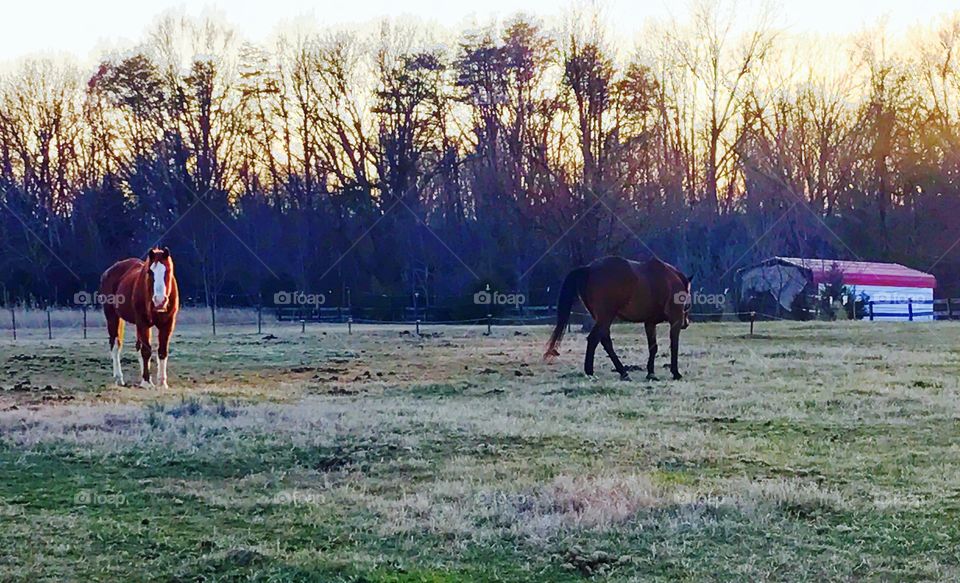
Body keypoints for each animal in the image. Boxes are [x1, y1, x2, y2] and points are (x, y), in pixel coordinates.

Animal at [99, 246, 180, 388]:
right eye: (150, 272)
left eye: (168, 271)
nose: (159, 301)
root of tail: (108, 272)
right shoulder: (143, 322)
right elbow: (146, 351)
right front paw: (147, 382)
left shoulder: (168, 324)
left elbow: (162, 351)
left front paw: (162, 383)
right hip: (112, 317)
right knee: (115, 345)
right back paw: (119, 378)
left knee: (138, 347)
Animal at [544, 256, 692, 384]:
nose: (686, 323)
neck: (669, 278)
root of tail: (589, 268)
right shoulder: (675, 319)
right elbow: (674, 345)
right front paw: (675, 372)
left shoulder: (650, 322)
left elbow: (653, 347)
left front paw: (651, 373)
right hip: (606, 317)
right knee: (594, 339)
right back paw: (592, 372)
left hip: (602, 318)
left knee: (605, 341)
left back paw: (622, 372)